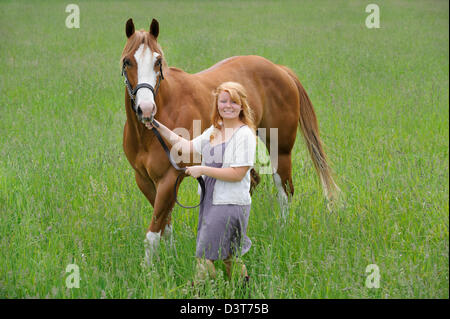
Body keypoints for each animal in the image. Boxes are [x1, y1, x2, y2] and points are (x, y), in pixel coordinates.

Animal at [119, 18, 338, 262]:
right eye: (127, 61)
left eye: (158, 61)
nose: (146, 109)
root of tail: (280, 69)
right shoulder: (144, 180)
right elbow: (164, 226)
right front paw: (170, 259)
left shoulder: (169, 178)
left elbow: (153, 233)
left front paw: (149, 269)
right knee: (250, 184)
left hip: (280, 150)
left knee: (285, 191)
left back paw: (281, 232)